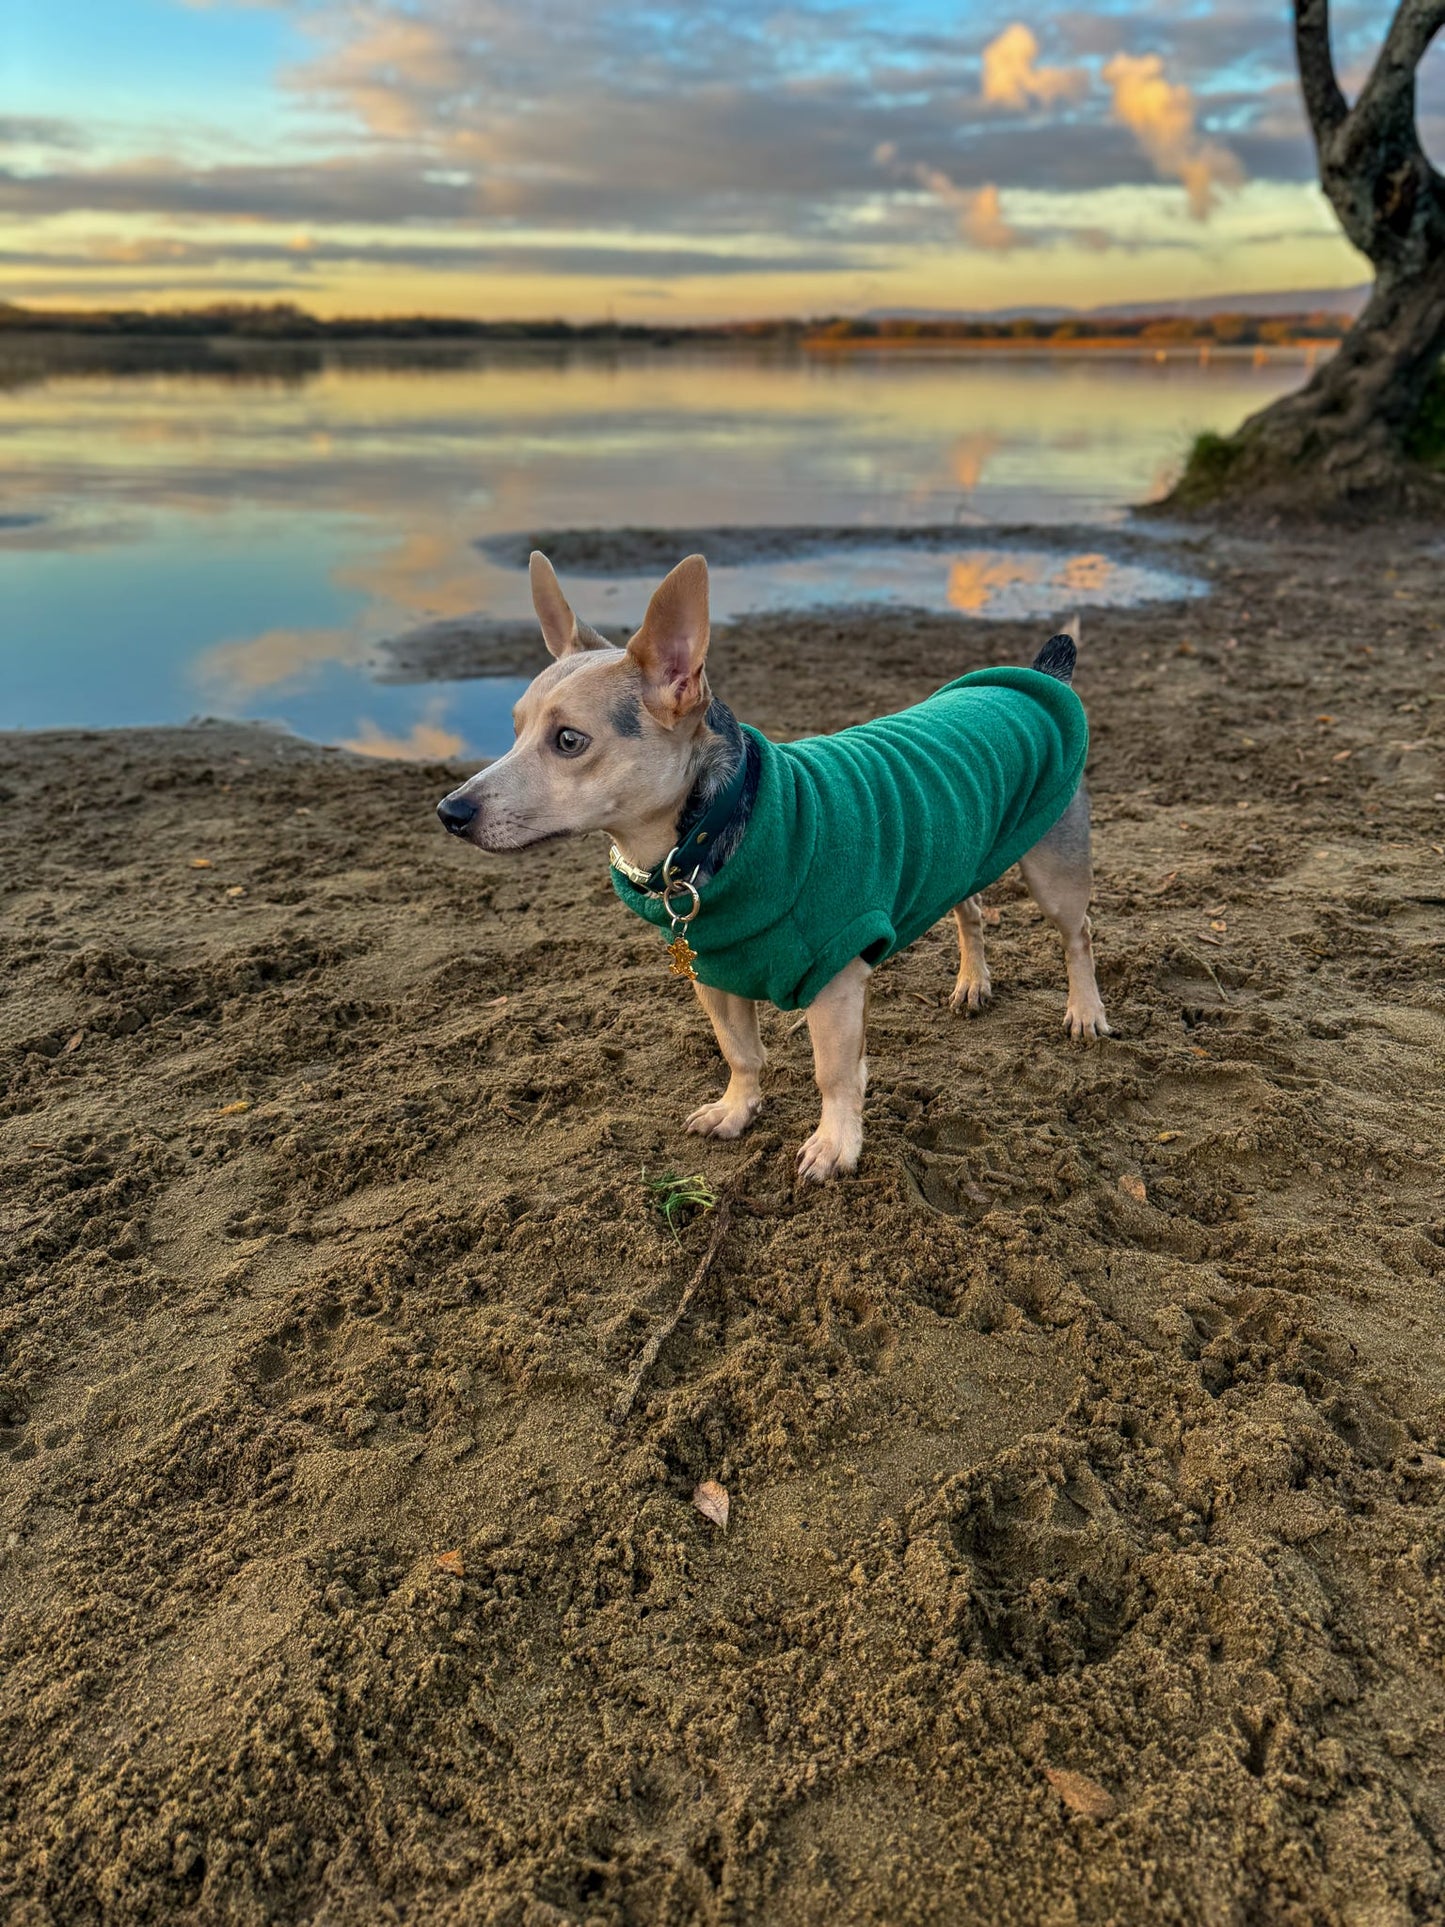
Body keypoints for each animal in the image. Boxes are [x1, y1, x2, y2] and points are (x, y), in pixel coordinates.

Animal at [439, 551, 1109, 1179]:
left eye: (569, 741)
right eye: (513, 730)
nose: (450, 811)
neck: (708, 834)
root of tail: (1035, 675)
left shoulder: (836, 983)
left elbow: (833, 1074)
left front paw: (836, 1144)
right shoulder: (714, 976)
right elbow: (741, 1053)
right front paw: (737, 1110)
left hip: (1052, 870)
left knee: (1078, 934)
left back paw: (1085, 1011)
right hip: (961, 847)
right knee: (969, 909)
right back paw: (973, 981)